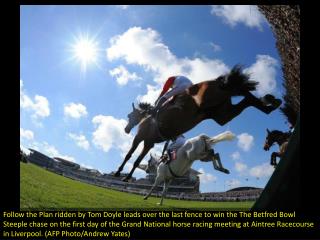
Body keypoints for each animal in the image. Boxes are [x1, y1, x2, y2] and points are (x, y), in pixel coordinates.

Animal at [114, 64, 280, 181]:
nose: (126, 129)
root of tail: (215, 81)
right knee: (247, 97)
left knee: (243, 93)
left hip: (210, 101)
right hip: (222, 114)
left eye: (129, 116)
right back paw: (270, 103)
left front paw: (121, 174)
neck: (147, 118)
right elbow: (134, 158)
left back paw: (269, 101)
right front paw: (124, 175)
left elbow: (131, 157)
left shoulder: (143, 140)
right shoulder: (149, 142)